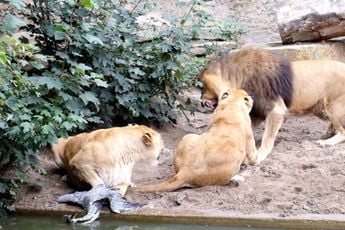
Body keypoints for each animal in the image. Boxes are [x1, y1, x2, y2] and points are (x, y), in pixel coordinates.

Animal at [198, 47, 344, 164]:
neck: (243, 79)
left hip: (333, 107)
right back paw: (328, 133)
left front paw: (261, 155)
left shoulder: (276, 111)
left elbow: (267, 137)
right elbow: (248, 130)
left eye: (204, 86)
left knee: (343, 132)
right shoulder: (257, 112)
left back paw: (326, 142)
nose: (201, 100)